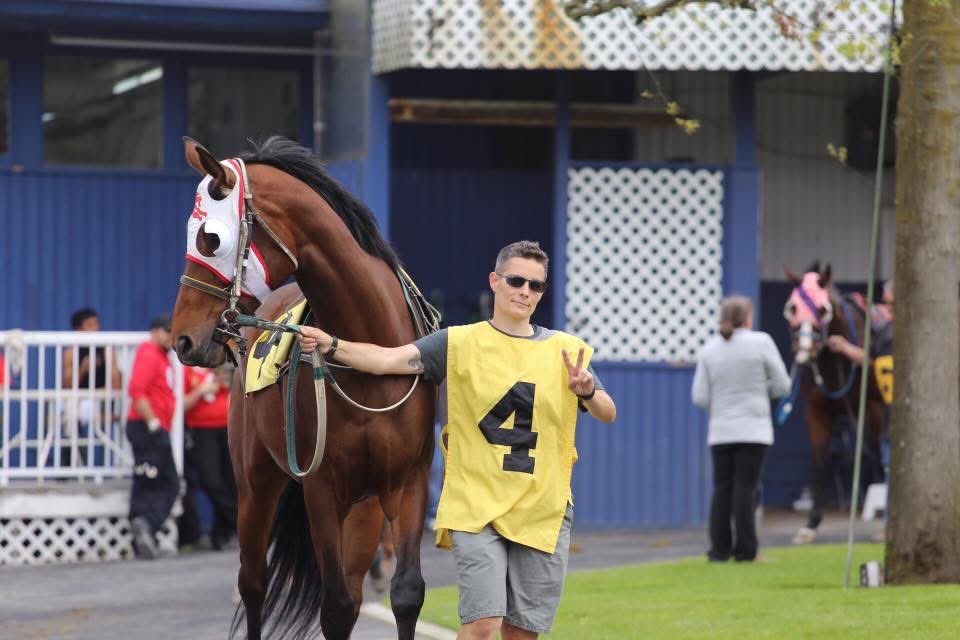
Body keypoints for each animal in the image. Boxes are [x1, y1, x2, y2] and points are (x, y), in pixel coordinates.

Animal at [171, 136, 436, 640]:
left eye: (209, 238)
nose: (182, 339)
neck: (368, 349)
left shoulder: (407, 481)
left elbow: (407, 593)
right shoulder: (322, 489)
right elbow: (334, 606)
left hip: (365, 507)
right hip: (255, 485)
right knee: (253, 584)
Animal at [782, 262, 887, 543]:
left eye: (822, 309)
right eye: (792, 307)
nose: (804, 350)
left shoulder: (870, 411)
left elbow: (880, 460)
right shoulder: (816, 413)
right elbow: (819, 463)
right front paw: (811, 524)